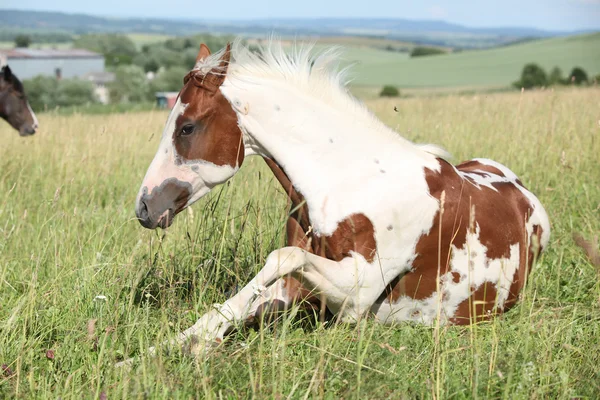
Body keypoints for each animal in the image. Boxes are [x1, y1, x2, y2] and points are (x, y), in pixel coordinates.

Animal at [134, 41, 552, 356]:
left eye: (187, 128)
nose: (145, 207)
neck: (352, 182)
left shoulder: (356, 297)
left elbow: (281, 258)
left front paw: (198, 345)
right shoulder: (297, 293)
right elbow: (240, 301)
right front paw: (163, 349)